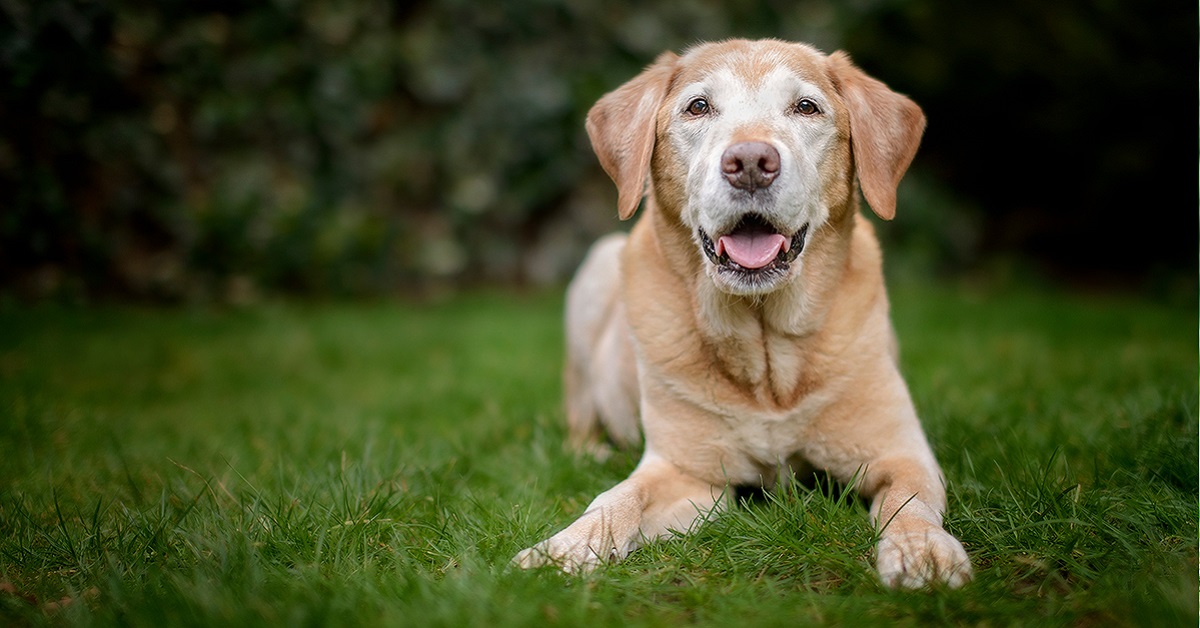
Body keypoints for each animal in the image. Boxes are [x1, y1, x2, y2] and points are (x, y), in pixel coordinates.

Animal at [516, 38, 974, 590]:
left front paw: (922, 549)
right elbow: (617, 498)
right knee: (580, 421)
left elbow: (910, 504)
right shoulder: (686, 473)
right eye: (698, 107)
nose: (751, 161)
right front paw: (562, 549)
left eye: (806, 107)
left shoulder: (902, 453)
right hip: (597, 269)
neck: (765, 348)